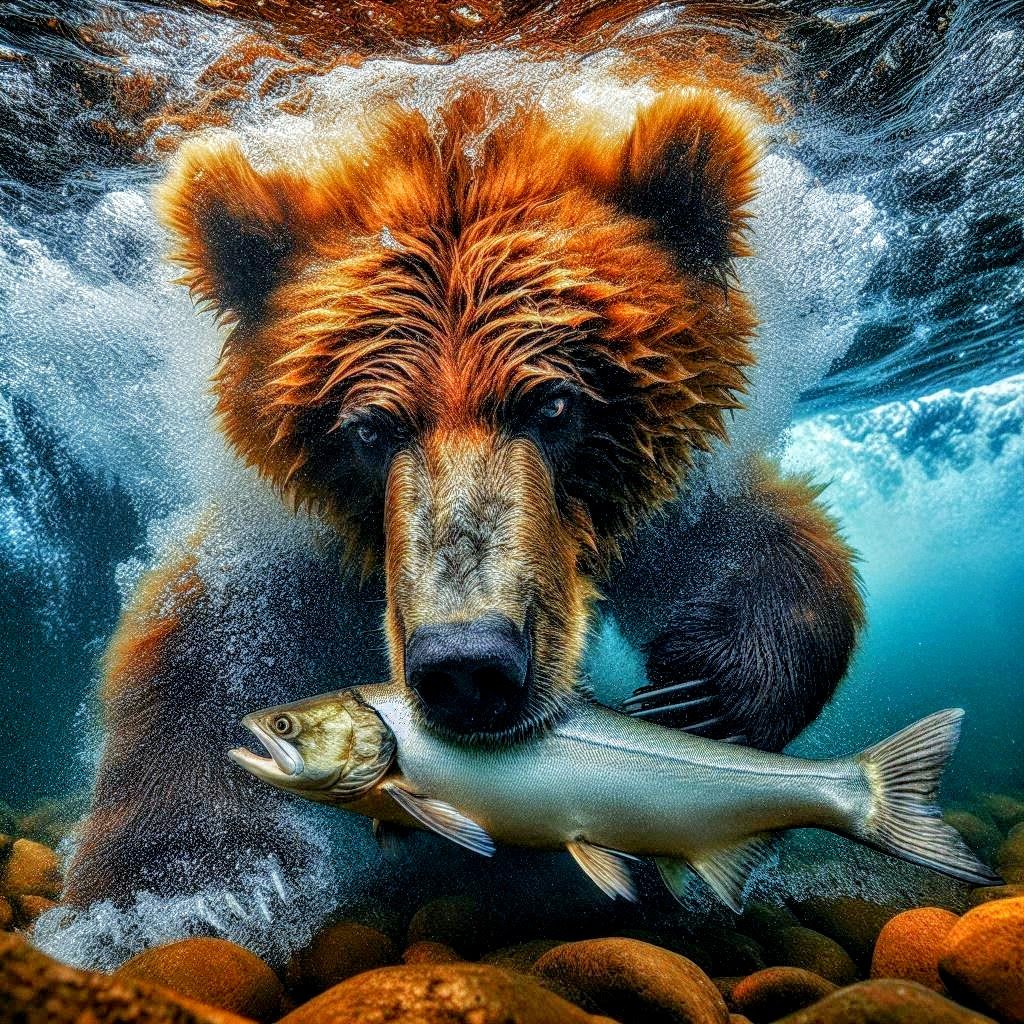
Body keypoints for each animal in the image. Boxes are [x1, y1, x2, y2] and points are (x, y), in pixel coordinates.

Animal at [63, 84, 863, 922]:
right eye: (371, 427)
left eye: (553, 404)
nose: (469, 662)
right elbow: (196, 663)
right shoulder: (295, 557)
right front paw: (180, 890)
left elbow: (763, 542)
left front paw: (698, 694)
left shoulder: (654, 506)